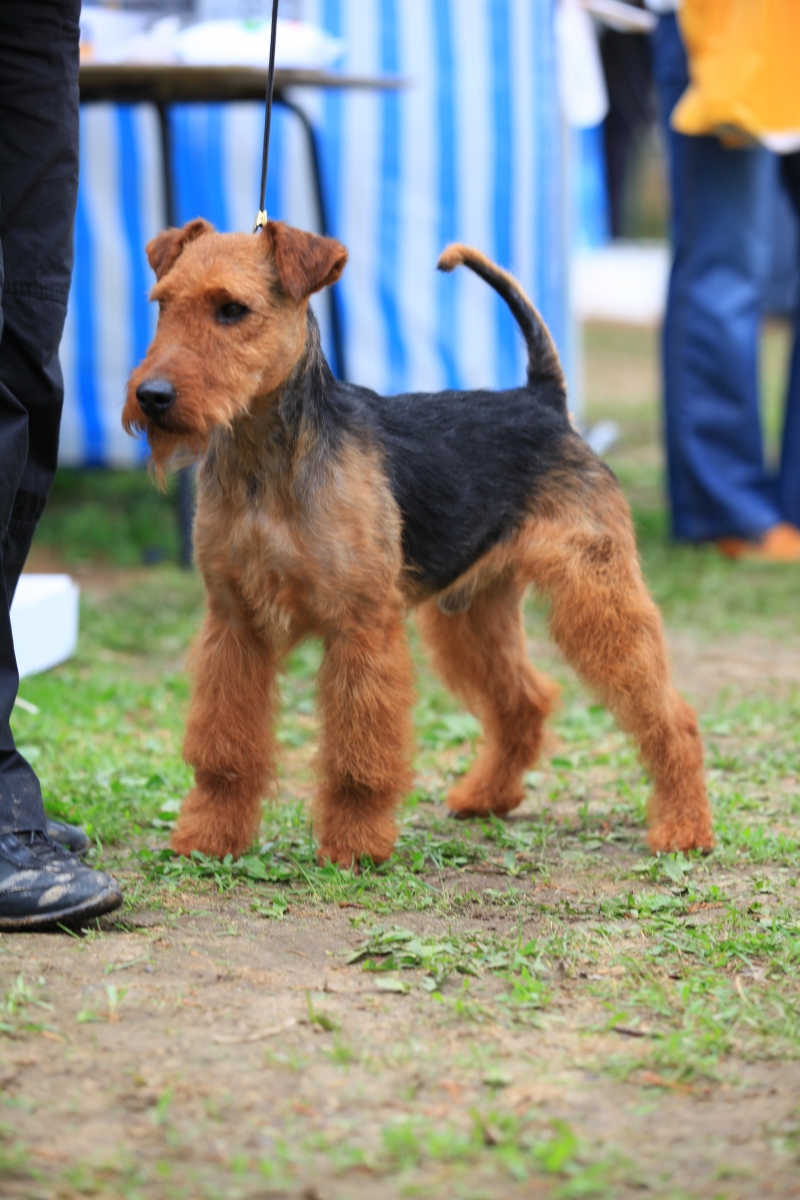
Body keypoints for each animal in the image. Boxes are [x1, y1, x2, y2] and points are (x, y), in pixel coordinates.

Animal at [123, 220, 714, 868]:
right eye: (162, 304)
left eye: (232, 309)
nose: (152, 396)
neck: (265, 463)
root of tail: (545, 400)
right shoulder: (234, 624)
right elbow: (223, 750)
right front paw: (209, 836)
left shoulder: (361, 627)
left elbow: (359, 756)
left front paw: (354, 846)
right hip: (472, 614)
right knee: (524, 701)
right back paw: (485, 795)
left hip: (598, 597)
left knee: (672, 716)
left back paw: (685, 828)